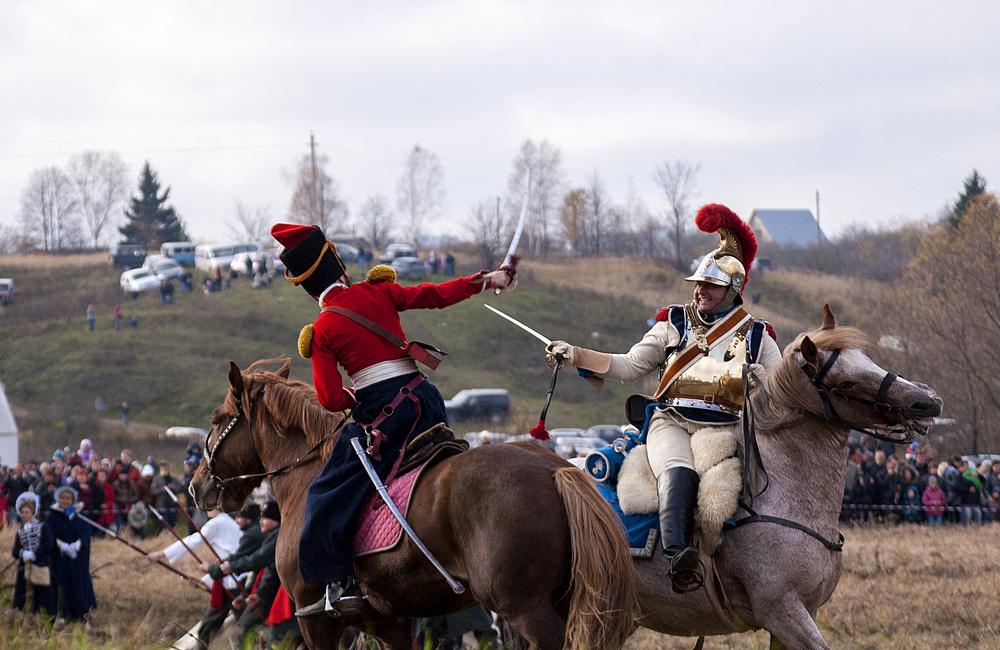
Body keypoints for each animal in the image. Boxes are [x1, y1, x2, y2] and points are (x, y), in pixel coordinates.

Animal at [188, 360, 640, 648]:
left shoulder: (315, 620)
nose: (196, 485)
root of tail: (556, 469)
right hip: (563, 601)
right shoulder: (389, 622)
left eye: (215, 419)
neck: (306, 476)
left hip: (526, 609)